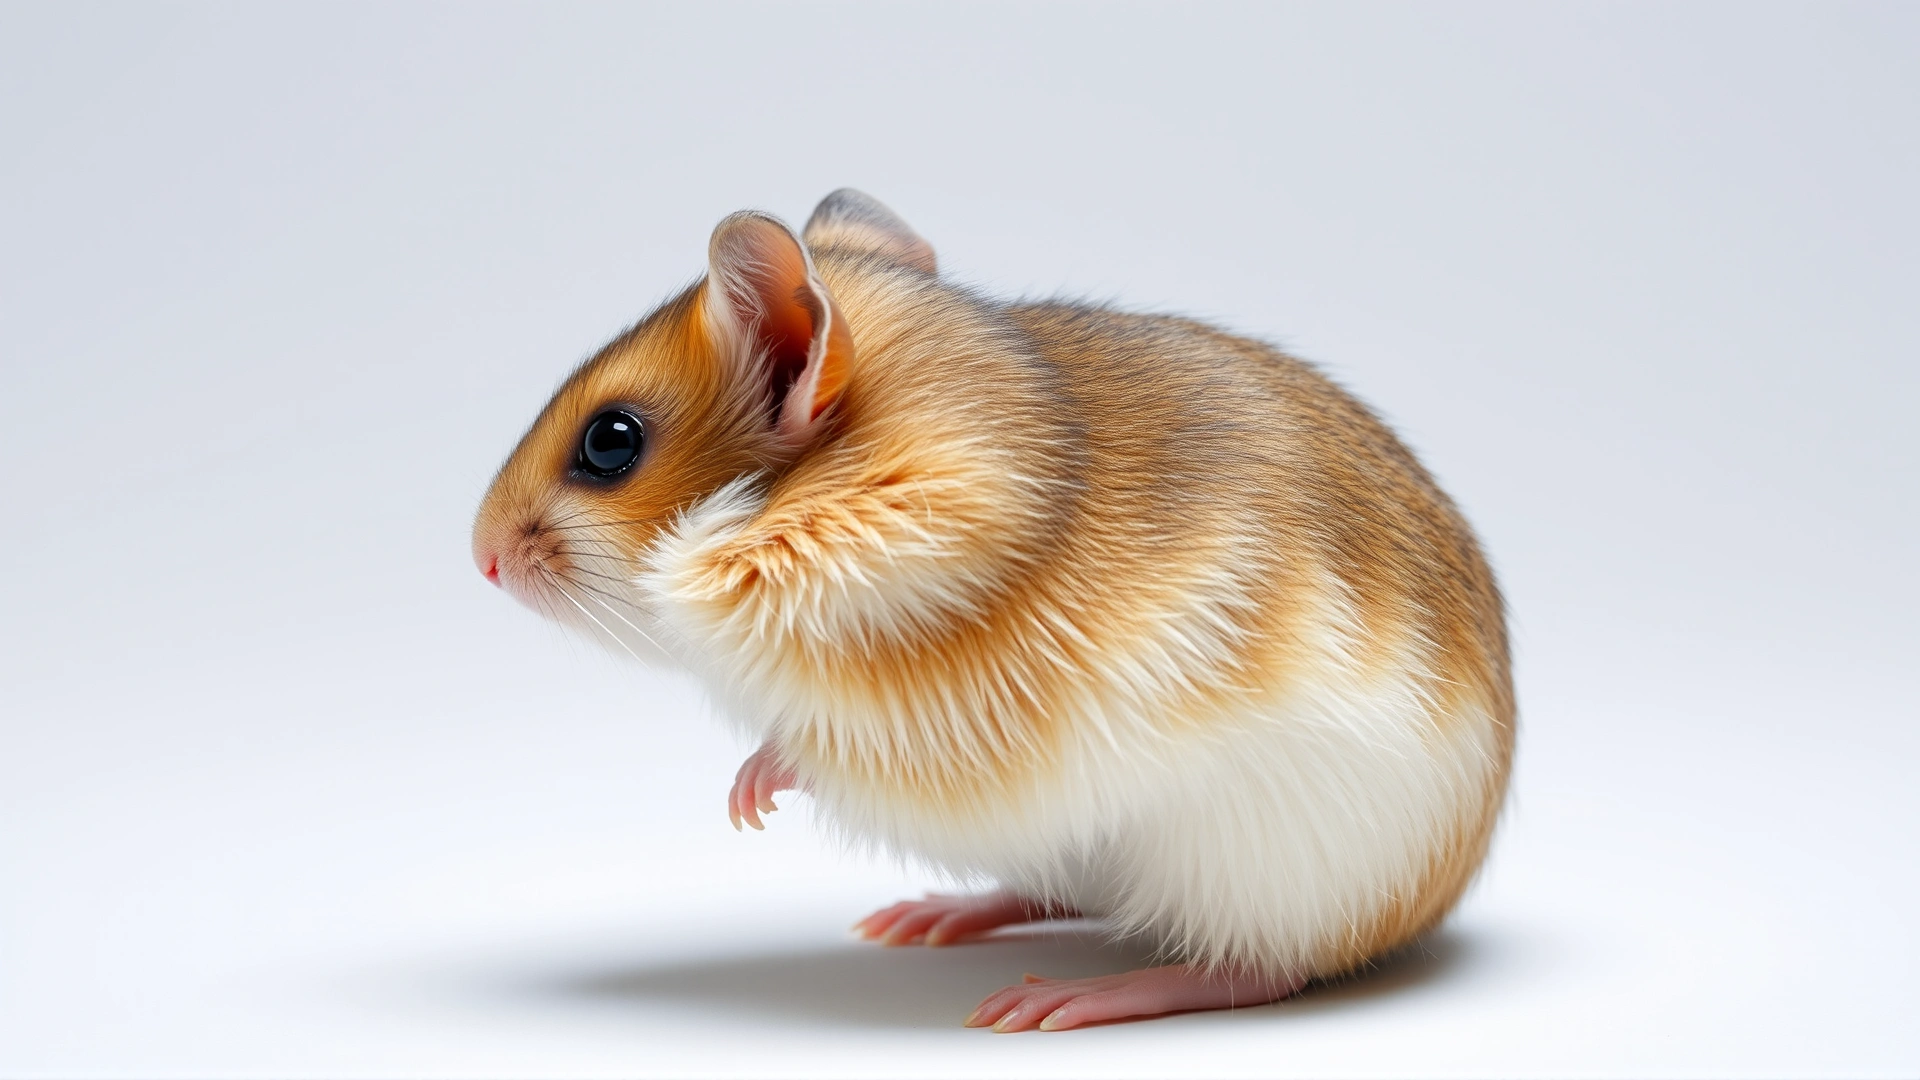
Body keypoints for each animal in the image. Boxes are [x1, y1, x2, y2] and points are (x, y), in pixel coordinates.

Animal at [472, 190, 1514, 1032]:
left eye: (610, 443)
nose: (477, 558)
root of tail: (1433, 898)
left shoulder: (947, 723)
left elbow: (820, 747)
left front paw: (748, 798)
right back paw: (932, 915)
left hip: (1270, 878)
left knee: (1254, 972)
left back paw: (1063, 999)